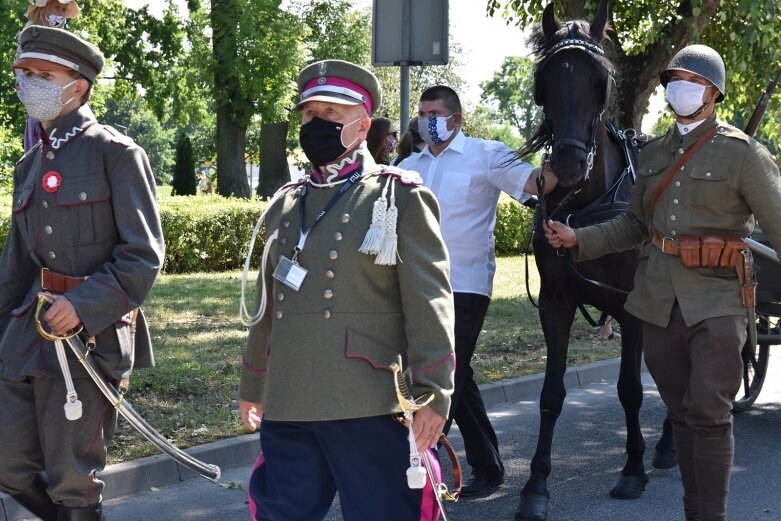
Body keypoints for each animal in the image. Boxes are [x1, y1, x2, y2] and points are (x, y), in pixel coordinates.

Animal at [512, 2, 672, 516]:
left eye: (600, 80)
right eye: (545, 80)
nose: (565, 165)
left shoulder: (633, 306)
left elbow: (630, 389)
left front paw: (632, 470)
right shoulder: (556, 304)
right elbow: (550, 395)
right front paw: (535, 485)